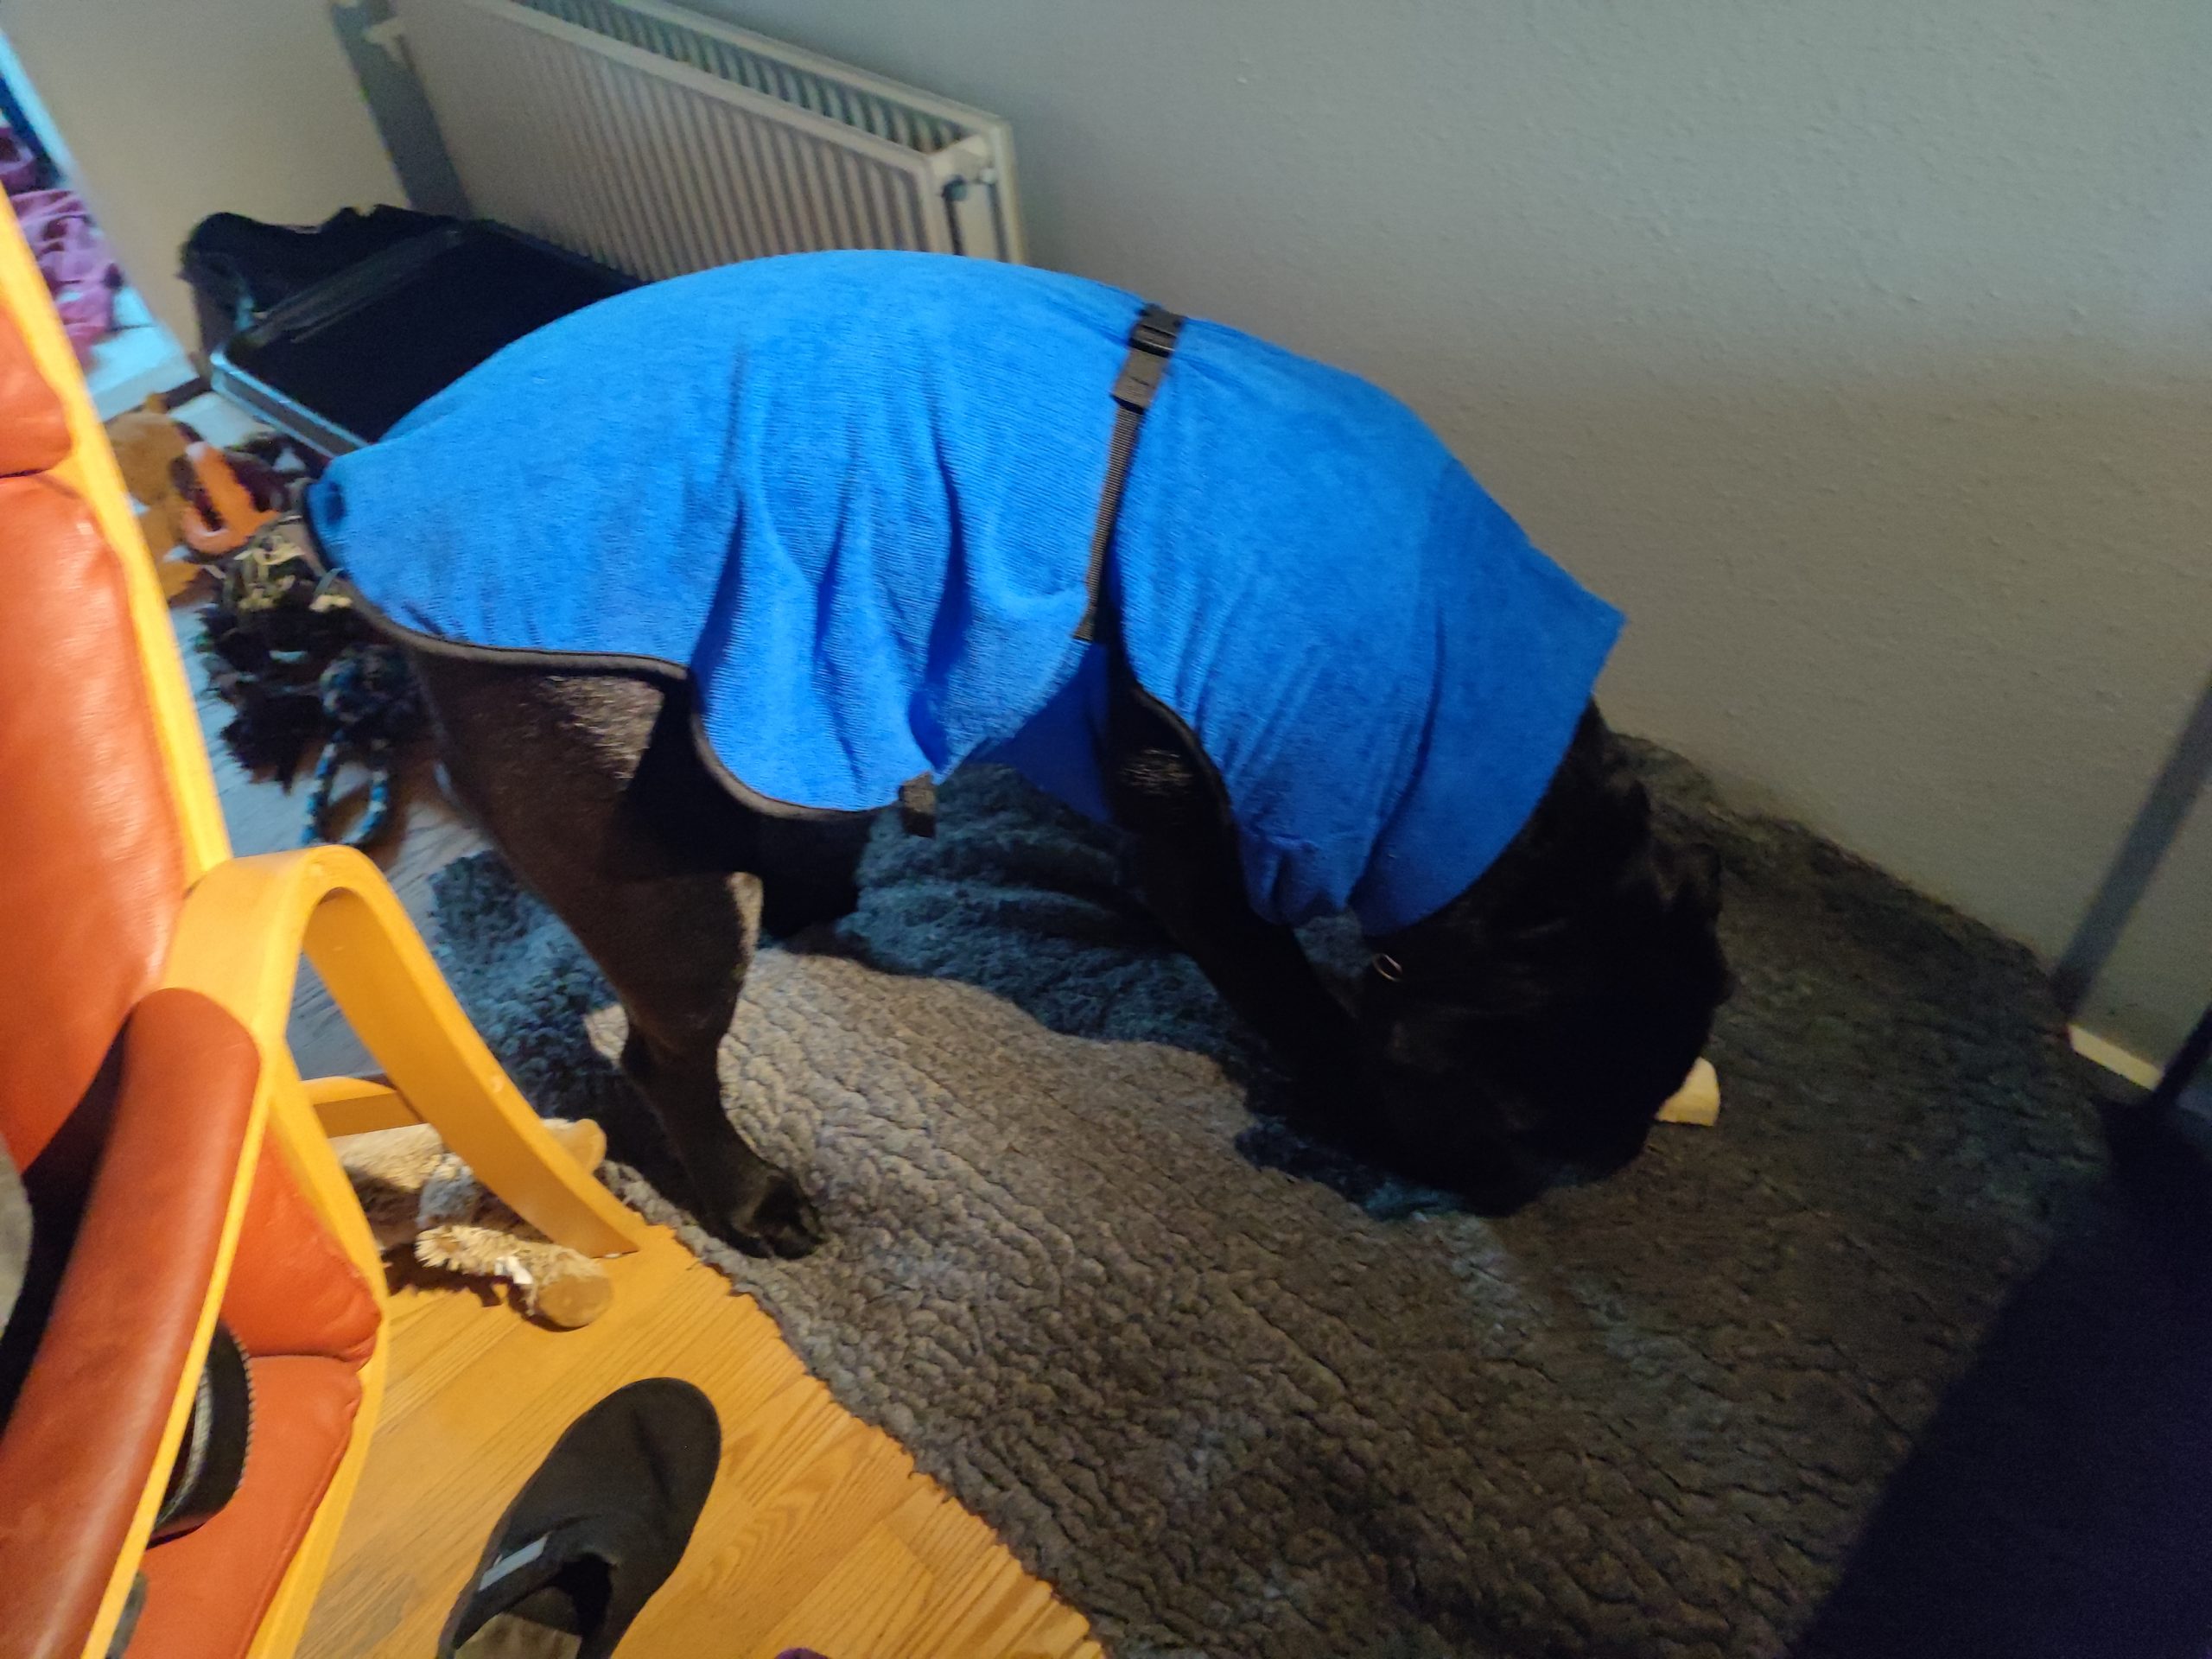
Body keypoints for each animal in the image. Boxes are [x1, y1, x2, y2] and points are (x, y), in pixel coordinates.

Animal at [306, 252, 1729, 1258]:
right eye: (1526, 1121)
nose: (1504, 1199)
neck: (1522, 831)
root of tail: (370, 483)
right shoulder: (1224, 854)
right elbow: (1300, 1009)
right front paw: (1342, 1098)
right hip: (656, 878)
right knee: (670, 1054)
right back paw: (749, 1193)